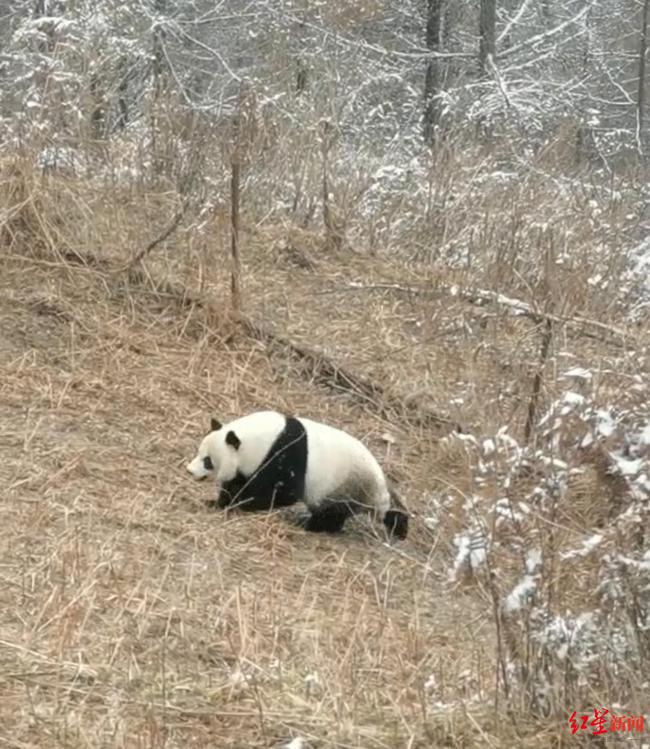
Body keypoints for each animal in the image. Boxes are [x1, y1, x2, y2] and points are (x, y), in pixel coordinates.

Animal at [186, 410, 404, 536]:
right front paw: (218, 502)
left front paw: (241, 504)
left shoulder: (285, 454)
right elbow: (237, 482)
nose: (189, 471)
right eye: (198, 452)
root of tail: (381, 485)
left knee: (333, 512)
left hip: (349, 485)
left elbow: (284, 492)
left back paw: (311, 525)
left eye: (208, 461)